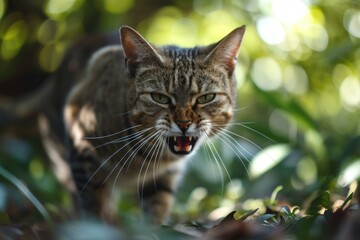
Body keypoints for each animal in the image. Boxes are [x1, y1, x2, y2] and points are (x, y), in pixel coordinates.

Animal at [0, 25, 245, 224]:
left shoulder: (165, 176)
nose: (183, 123)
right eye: (160, 98)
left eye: (206, 98)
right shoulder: (82, 151)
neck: (150, 158)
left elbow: (157, 209)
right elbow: (92, 206)